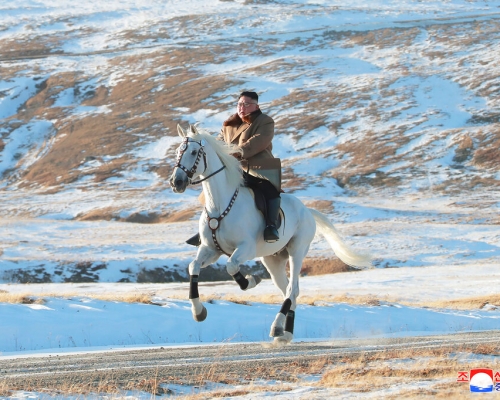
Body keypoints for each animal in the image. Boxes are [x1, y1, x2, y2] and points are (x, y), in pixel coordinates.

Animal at [170, 126, 370, 344]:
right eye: (177, 152)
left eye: (193, 152)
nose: (176, 182)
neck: (220, 205)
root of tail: (307, 210)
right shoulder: (210, 249)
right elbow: (193, 266)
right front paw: (199, 312)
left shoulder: (246, 248)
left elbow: (231, 266)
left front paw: (250, 281)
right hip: (273, 260)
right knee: (289, 291)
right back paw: (285, 333)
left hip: (297, 251)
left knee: (292, 289)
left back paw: (277, 328)